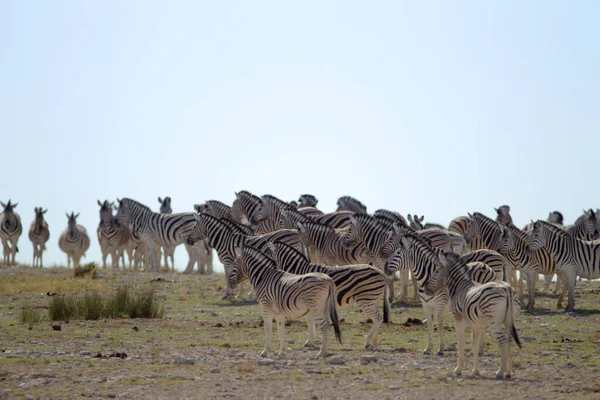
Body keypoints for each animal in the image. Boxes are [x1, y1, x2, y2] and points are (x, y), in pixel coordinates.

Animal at [426, 252, 520, 380]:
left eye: (436, 271)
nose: (425, 288)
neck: (459, 287)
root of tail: (508, 289)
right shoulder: (477, 325)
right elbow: (474, 346)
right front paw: (476, 371)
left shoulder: (458, 320)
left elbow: (460, 344)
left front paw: (458, 370)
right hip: (510, 320)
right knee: (509, 341)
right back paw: (509, 372)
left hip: (494, 323)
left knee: (503, 342)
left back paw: (500, 372)